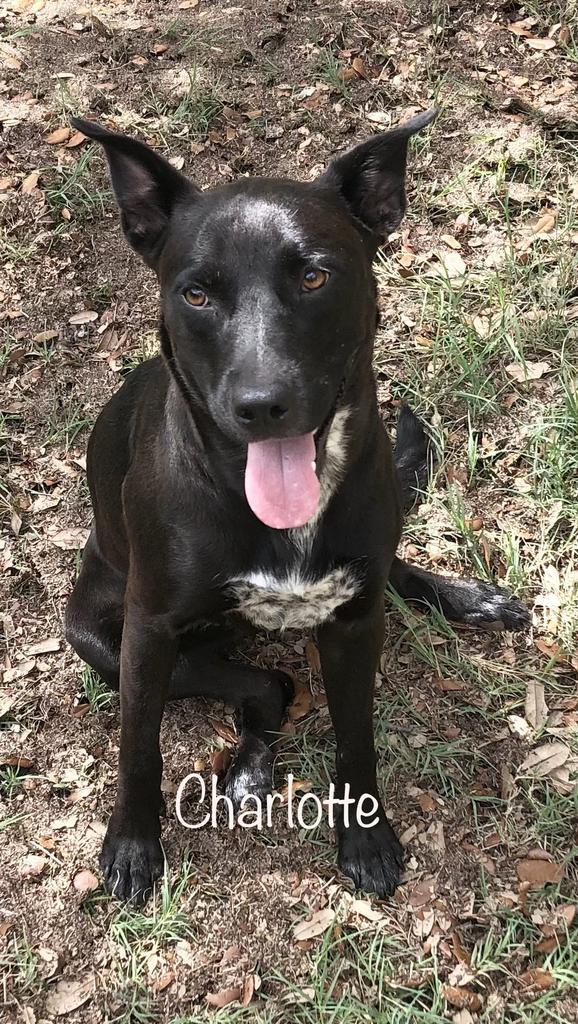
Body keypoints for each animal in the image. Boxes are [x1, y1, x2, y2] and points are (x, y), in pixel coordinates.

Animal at [66, 110, 528, 905]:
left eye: (314, 276)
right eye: (196, 294)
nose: (261, 406)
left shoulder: (354, 623)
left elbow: (356, 738)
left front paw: (366, 837)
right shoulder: (146, 633)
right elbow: (137, 747)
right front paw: (131, 844)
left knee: (382, 583)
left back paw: (469, 598)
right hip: (99, 636)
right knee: (268, 683)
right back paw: (251, 763)